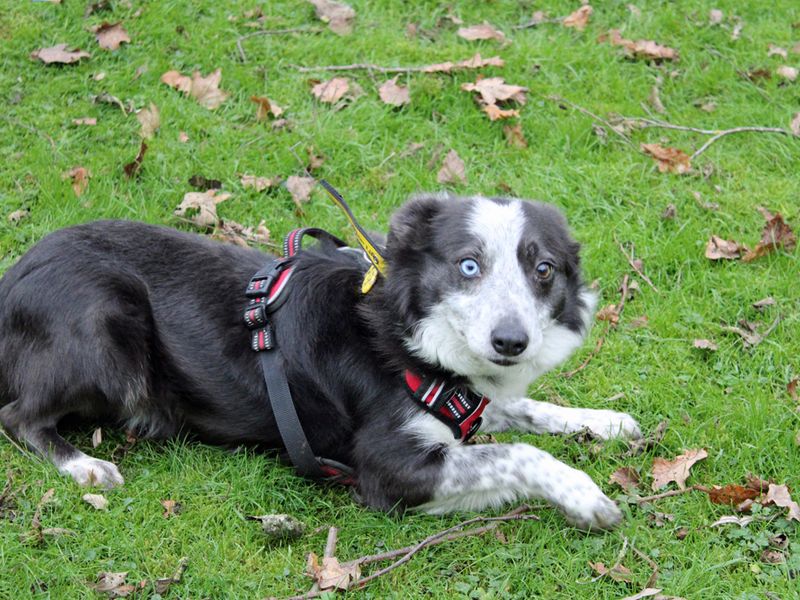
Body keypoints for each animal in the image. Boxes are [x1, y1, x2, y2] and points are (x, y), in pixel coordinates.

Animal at [0, 193, 640, 528]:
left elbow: (527, 410)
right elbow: (518, 453)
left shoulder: (469, 400)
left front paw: (603, 422)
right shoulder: (388, 467)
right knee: (18, 416)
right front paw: (585, 495)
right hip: (106, 329)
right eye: (467, 265)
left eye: (544, 269)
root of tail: (12, 279)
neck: (406, 333)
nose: (511, 342)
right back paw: (83, 464)